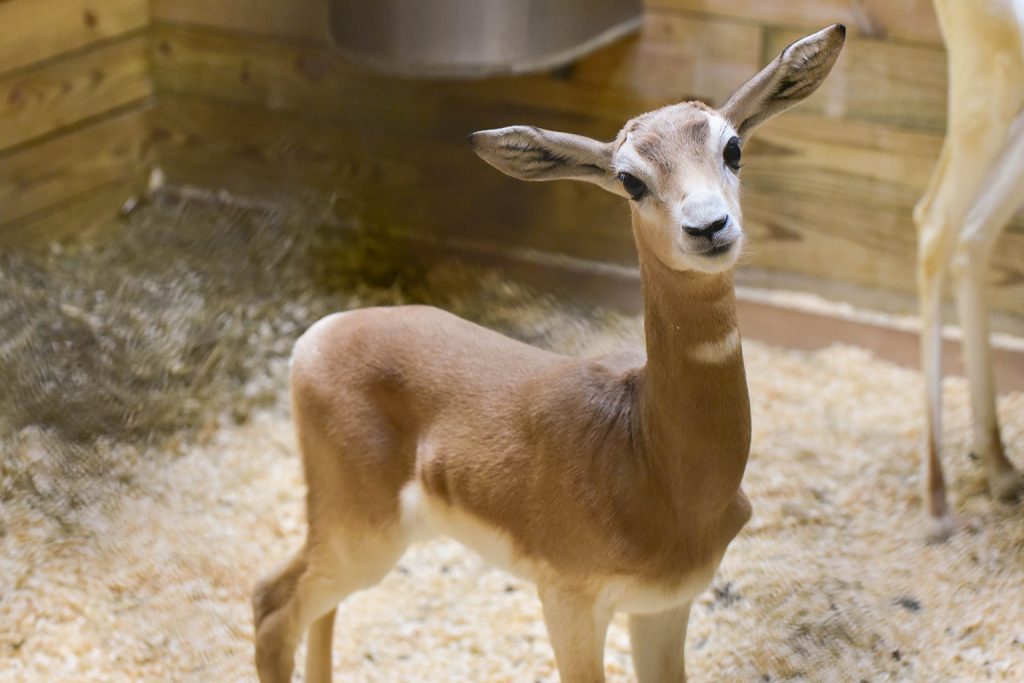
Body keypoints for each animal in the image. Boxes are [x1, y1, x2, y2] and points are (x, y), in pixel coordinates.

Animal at [256, 24, 847, 679]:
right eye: (630, 179)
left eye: (733, 148)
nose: (708, 226)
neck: (653, 458)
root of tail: (321, 333)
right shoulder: (568, 599)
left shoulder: (666, 605)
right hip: (360, 534)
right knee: (271, 604)